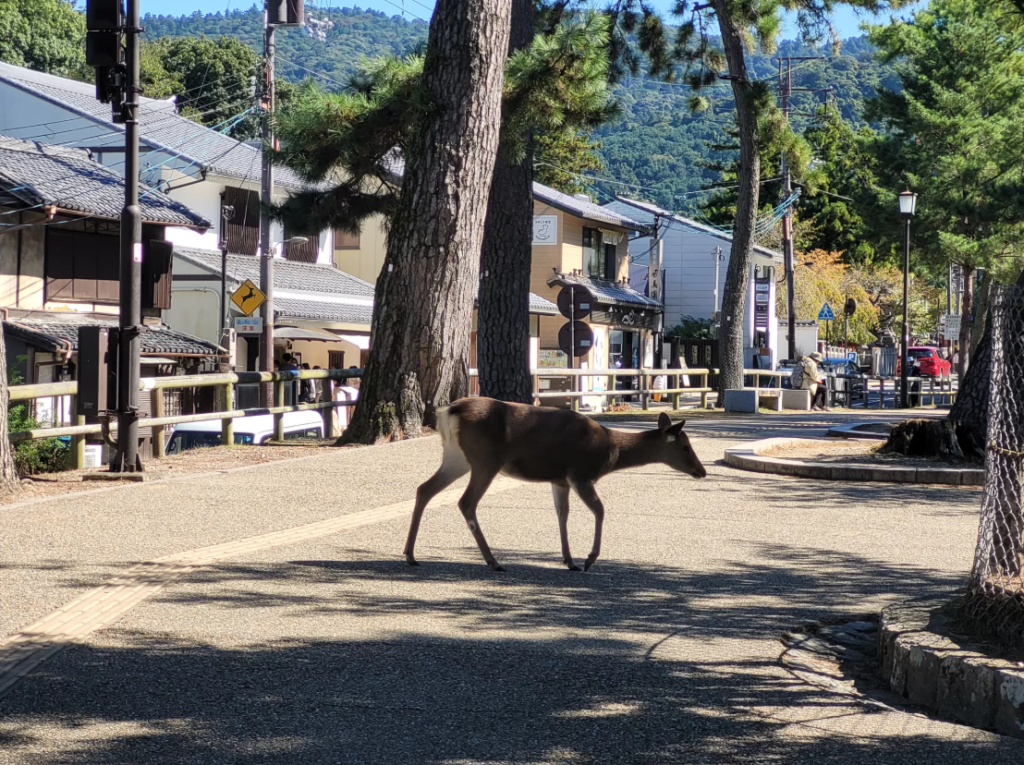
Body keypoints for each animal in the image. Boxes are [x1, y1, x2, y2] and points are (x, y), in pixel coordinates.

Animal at [404, 397, 707, 572]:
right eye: (685, 447)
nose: (702, 471)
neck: (610, 452)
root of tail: (449, 411)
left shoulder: (560, 480)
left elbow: (562, 514)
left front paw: (569, 559)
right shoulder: (580, 473)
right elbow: (600, 510)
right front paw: (589, 559)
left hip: (457, 457)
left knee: (424, 488)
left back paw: (410, 554)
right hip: (485, 460)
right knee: (466, 502)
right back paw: (493, 561)